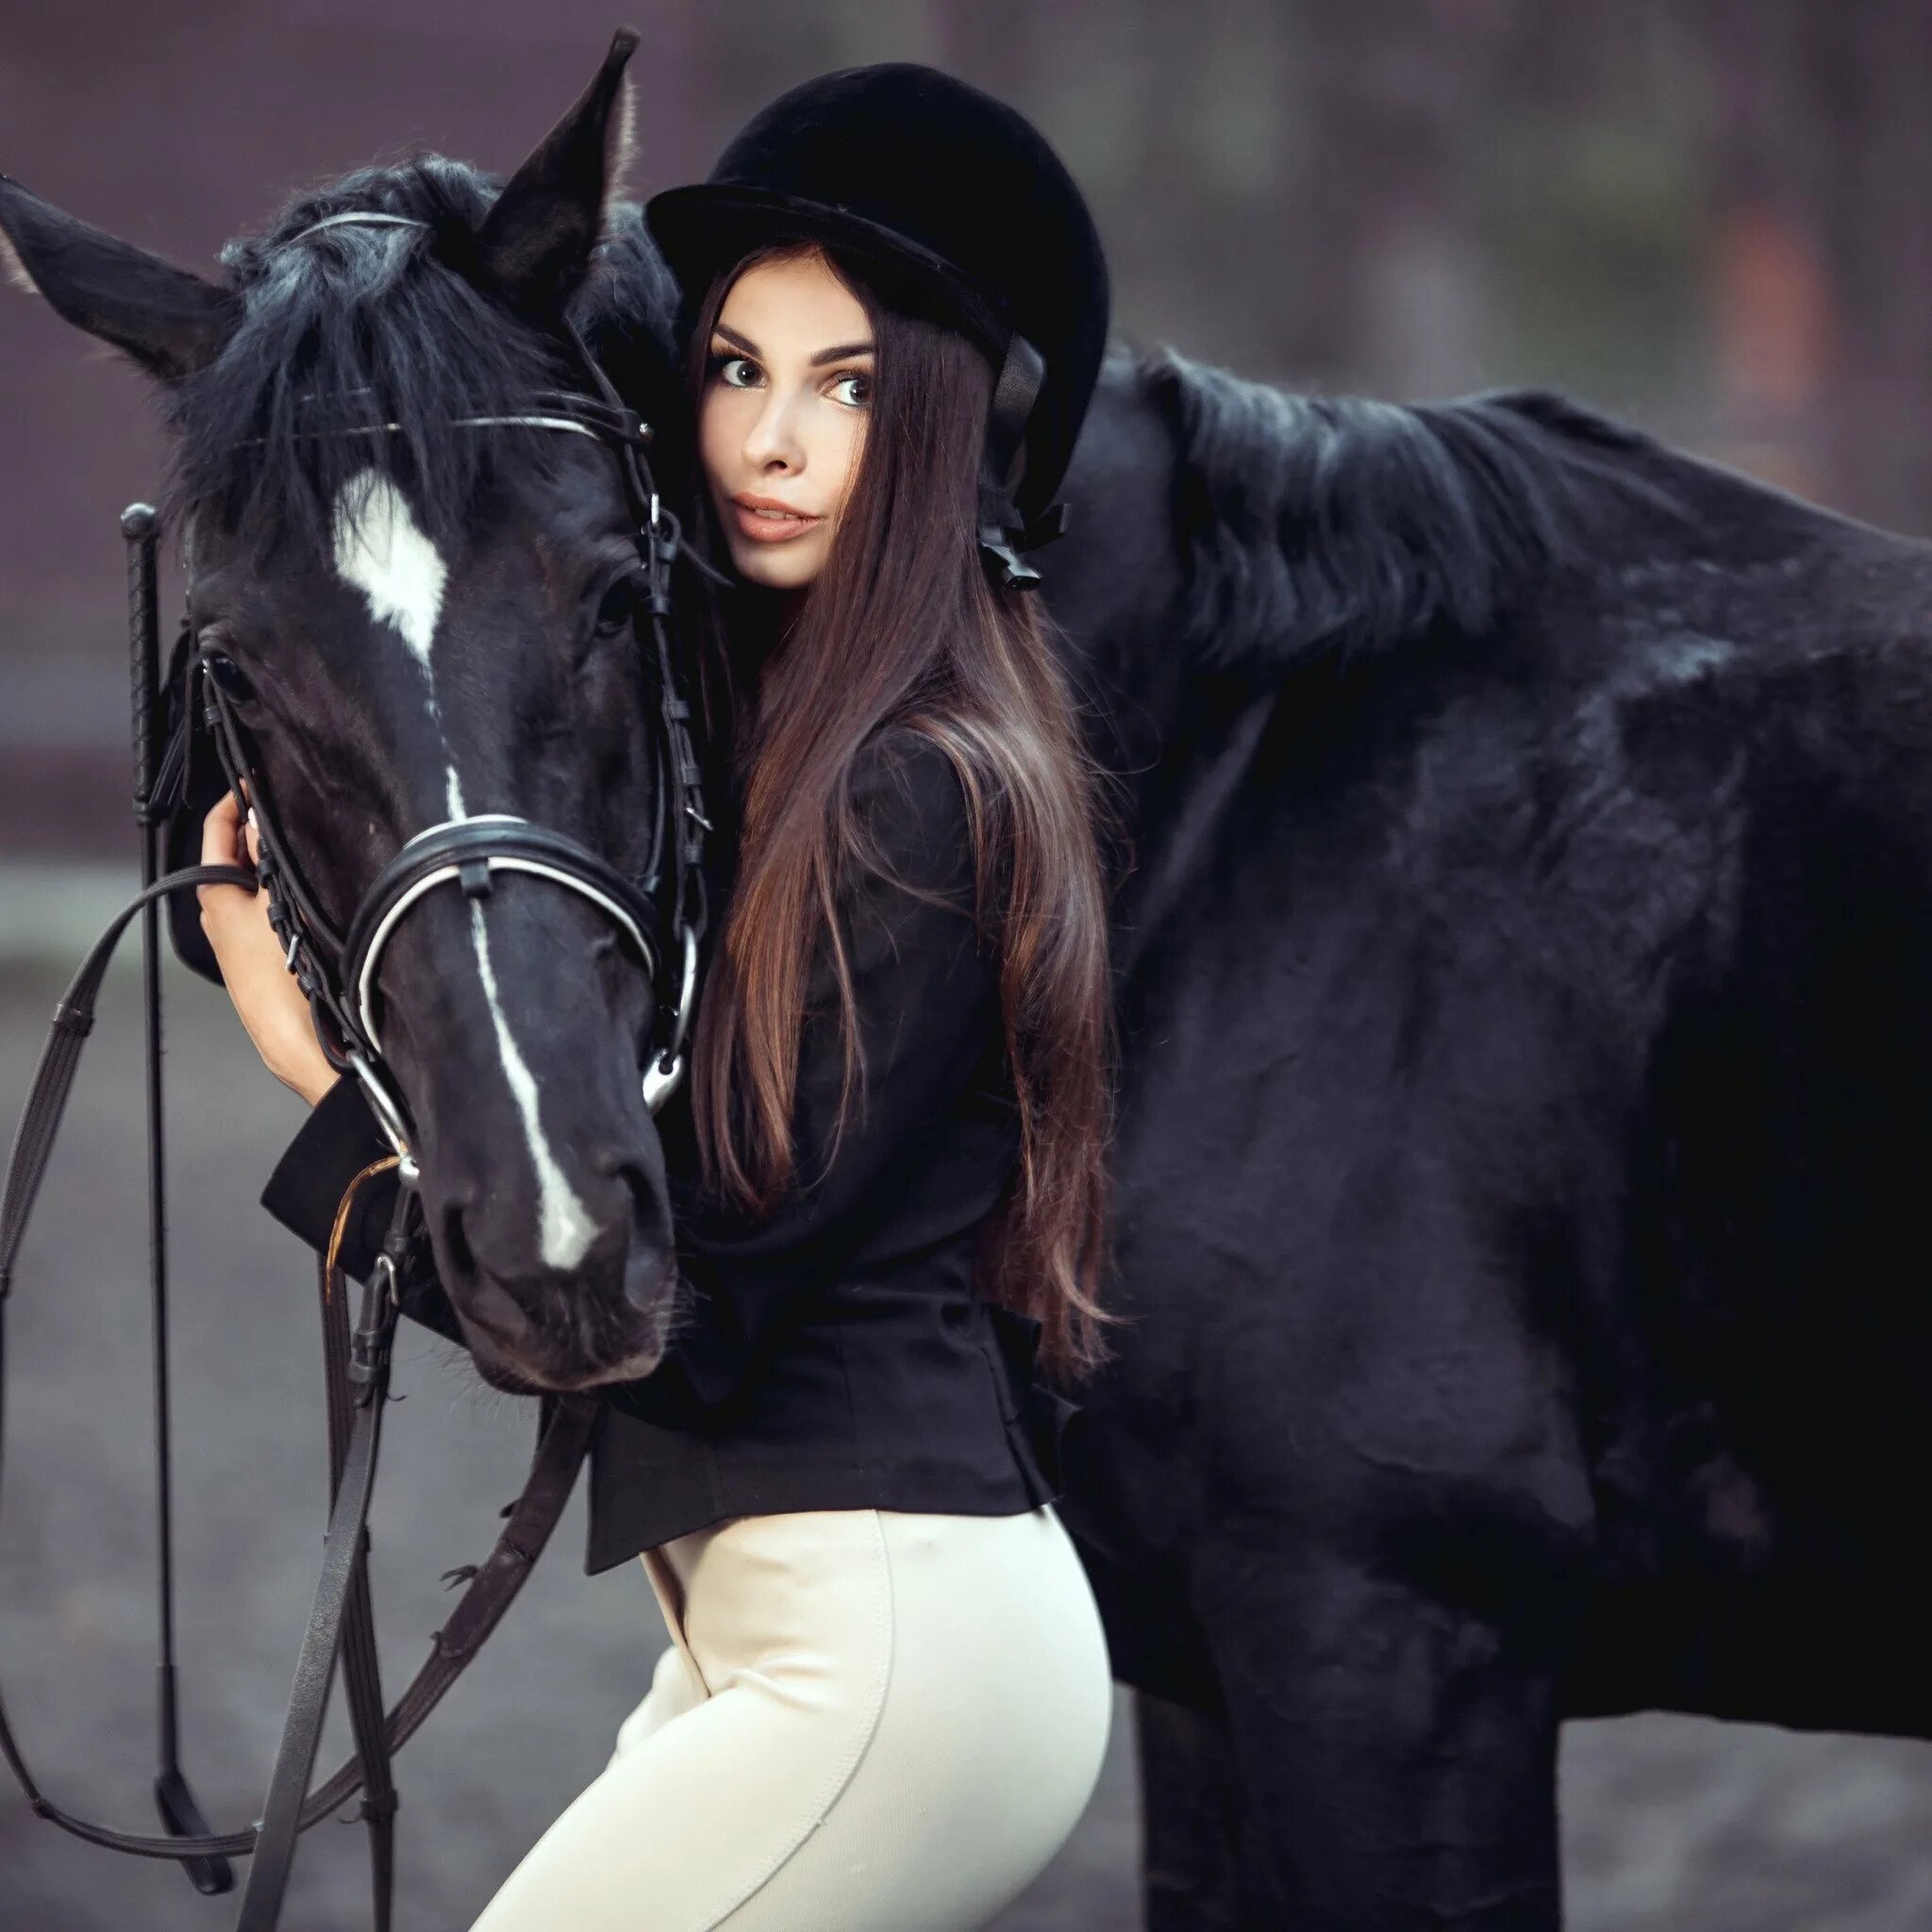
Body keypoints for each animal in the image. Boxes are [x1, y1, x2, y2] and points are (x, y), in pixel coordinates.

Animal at [4, 30, 1932, 1932]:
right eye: (240, 661)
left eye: (619, 593)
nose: (558, 1236)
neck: (1223, 793)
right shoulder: (1217, 1676)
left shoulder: (1390, 1645)